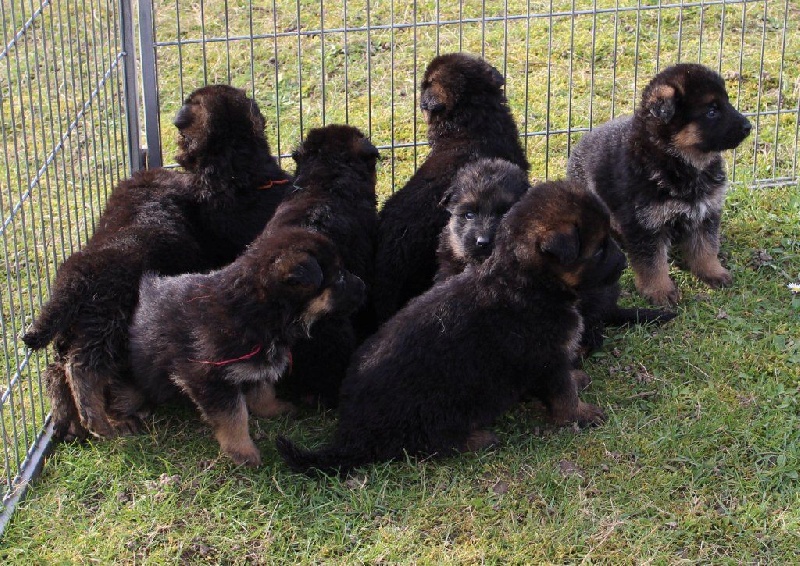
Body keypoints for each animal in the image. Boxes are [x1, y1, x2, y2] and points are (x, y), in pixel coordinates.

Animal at [126, 229, 366, 468]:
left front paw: (273, 409)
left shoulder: (255, 361)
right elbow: (234, 415)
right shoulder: (210, 377)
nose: (364, 284)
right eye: (340, 276)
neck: (252, 309)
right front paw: (243, 451)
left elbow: (262, 390)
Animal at [276, 180, 620, 478]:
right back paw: (479, 438)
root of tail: (353, 433)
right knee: (428, 443)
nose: (623, 260)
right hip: (444, 404)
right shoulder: (546, 359)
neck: (526, 280)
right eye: (599, 250)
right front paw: (581, 414)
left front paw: (578, 380)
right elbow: (562, 395)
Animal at [568, 62, 752, 306]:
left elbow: (706, 247)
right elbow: (652, 262)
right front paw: (660, 291)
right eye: (711, 111)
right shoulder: (644, 223)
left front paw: (712, 272)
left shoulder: (706, 211)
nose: (748, 126)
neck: (678, 160)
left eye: (727, 102)